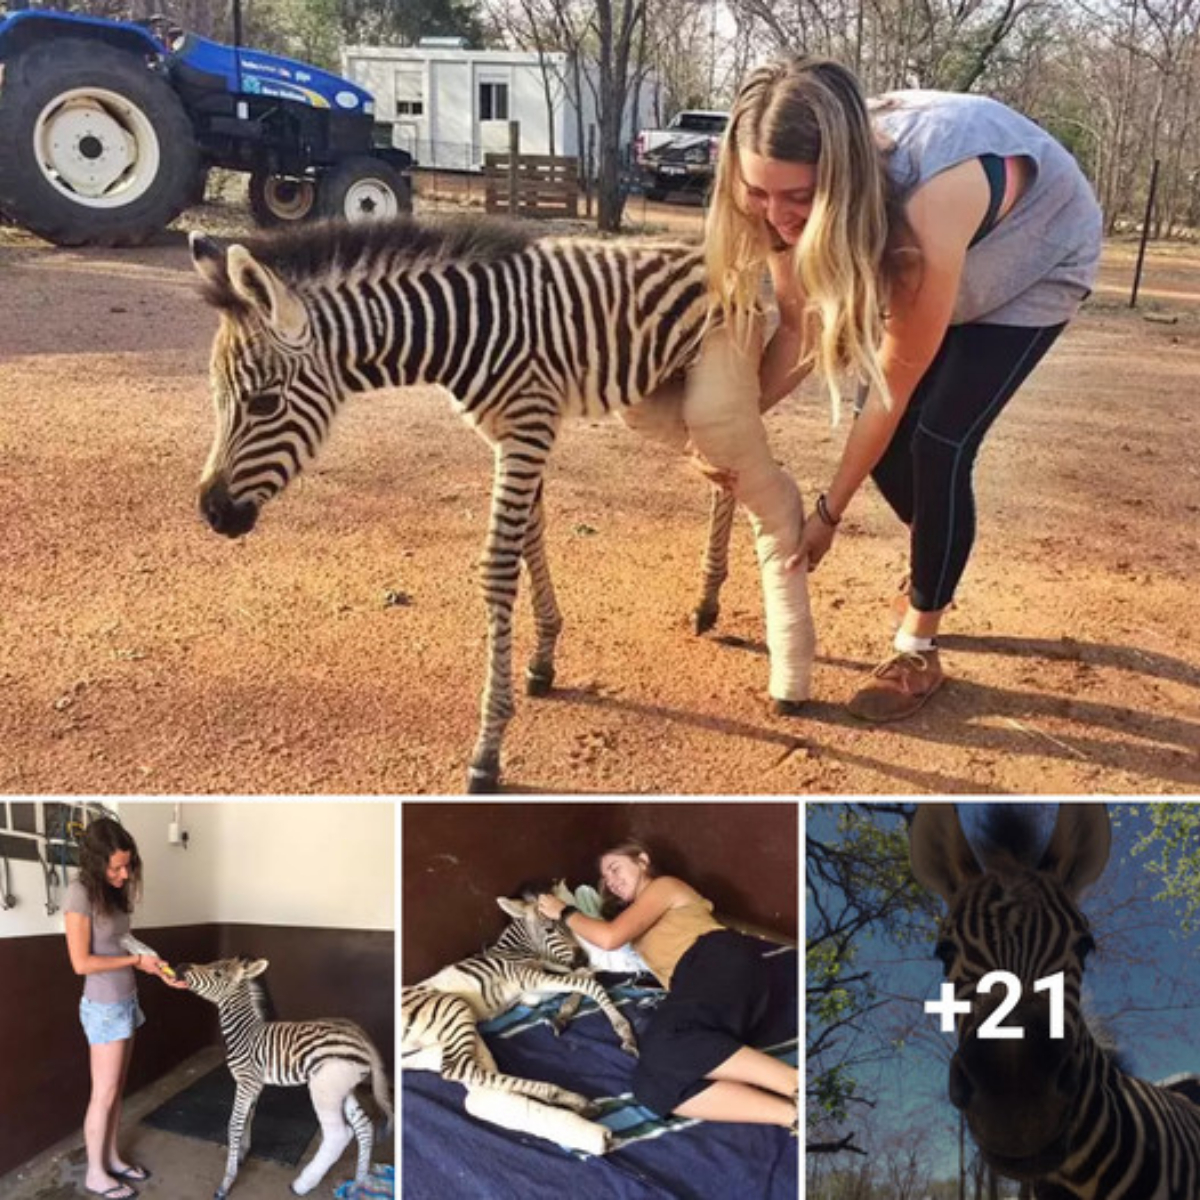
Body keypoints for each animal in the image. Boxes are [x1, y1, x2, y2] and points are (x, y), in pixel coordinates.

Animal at [180, 955, 391, 1200]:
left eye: (217, 973)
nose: (179, 967)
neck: (245, 1033)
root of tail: (360, 1035)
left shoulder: (246, 1081)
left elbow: (234, 1125)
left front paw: (227, 1182)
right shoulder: (255, 1084)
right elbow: (249, 1117)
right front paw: (242, 1154)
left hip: (324, 1089)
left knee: (339, 1134)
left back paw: (302, 1184)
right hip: (343, 1089)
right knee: (364, 1127)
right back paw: (359, 1182)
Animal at [189, 218, 816, 796]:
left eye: (264, 402)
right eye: (219, 398)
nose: (213, 513)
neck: (458, 328)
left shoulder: (527, 426)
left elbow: (496, 568)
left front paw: (488, 749)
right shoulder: (509, 432)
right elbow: (532, 536)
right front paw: (543, 657)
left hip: (710, 384)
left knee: (746, 472)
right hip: (657, 400)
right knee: (722, 478)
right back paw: (707, 603)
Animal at [400, 892, 638, 1152]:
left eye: (569, 926)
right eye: (549, 929)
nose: (583, 957)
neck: (516, 952)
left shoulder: (533, 989)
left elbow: (583, 977)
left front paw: (564, 1013)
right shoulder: (530, 982)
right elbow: (587, 981)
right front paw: (623, 1031)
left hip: (428, 1048)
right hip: (454, 1009)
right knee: (459, 1069)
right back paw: (573, 1100)